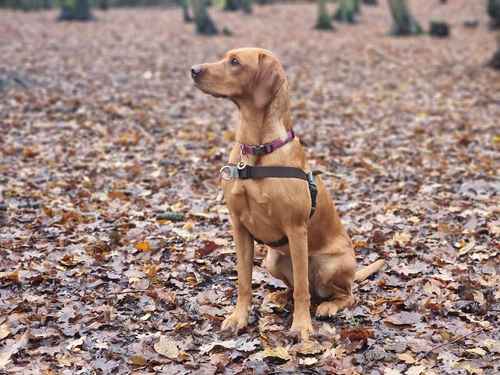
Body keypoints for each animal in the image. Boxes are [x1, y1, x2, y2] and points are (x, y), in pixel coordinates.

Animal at [190, 47, 382, 340]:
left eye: (234, 62)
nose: (193, 69)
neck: (257, 150)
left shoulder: (296, 228)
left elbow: (302, 289)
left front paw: (301, 326)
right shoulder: (239, 227)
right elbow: (244, 281)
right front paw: (238, 317)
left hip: (328, 265)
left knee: (342, 294)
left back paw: (328, 306)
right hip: (273, 260)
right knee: (296, 288)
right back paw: (279, 298)